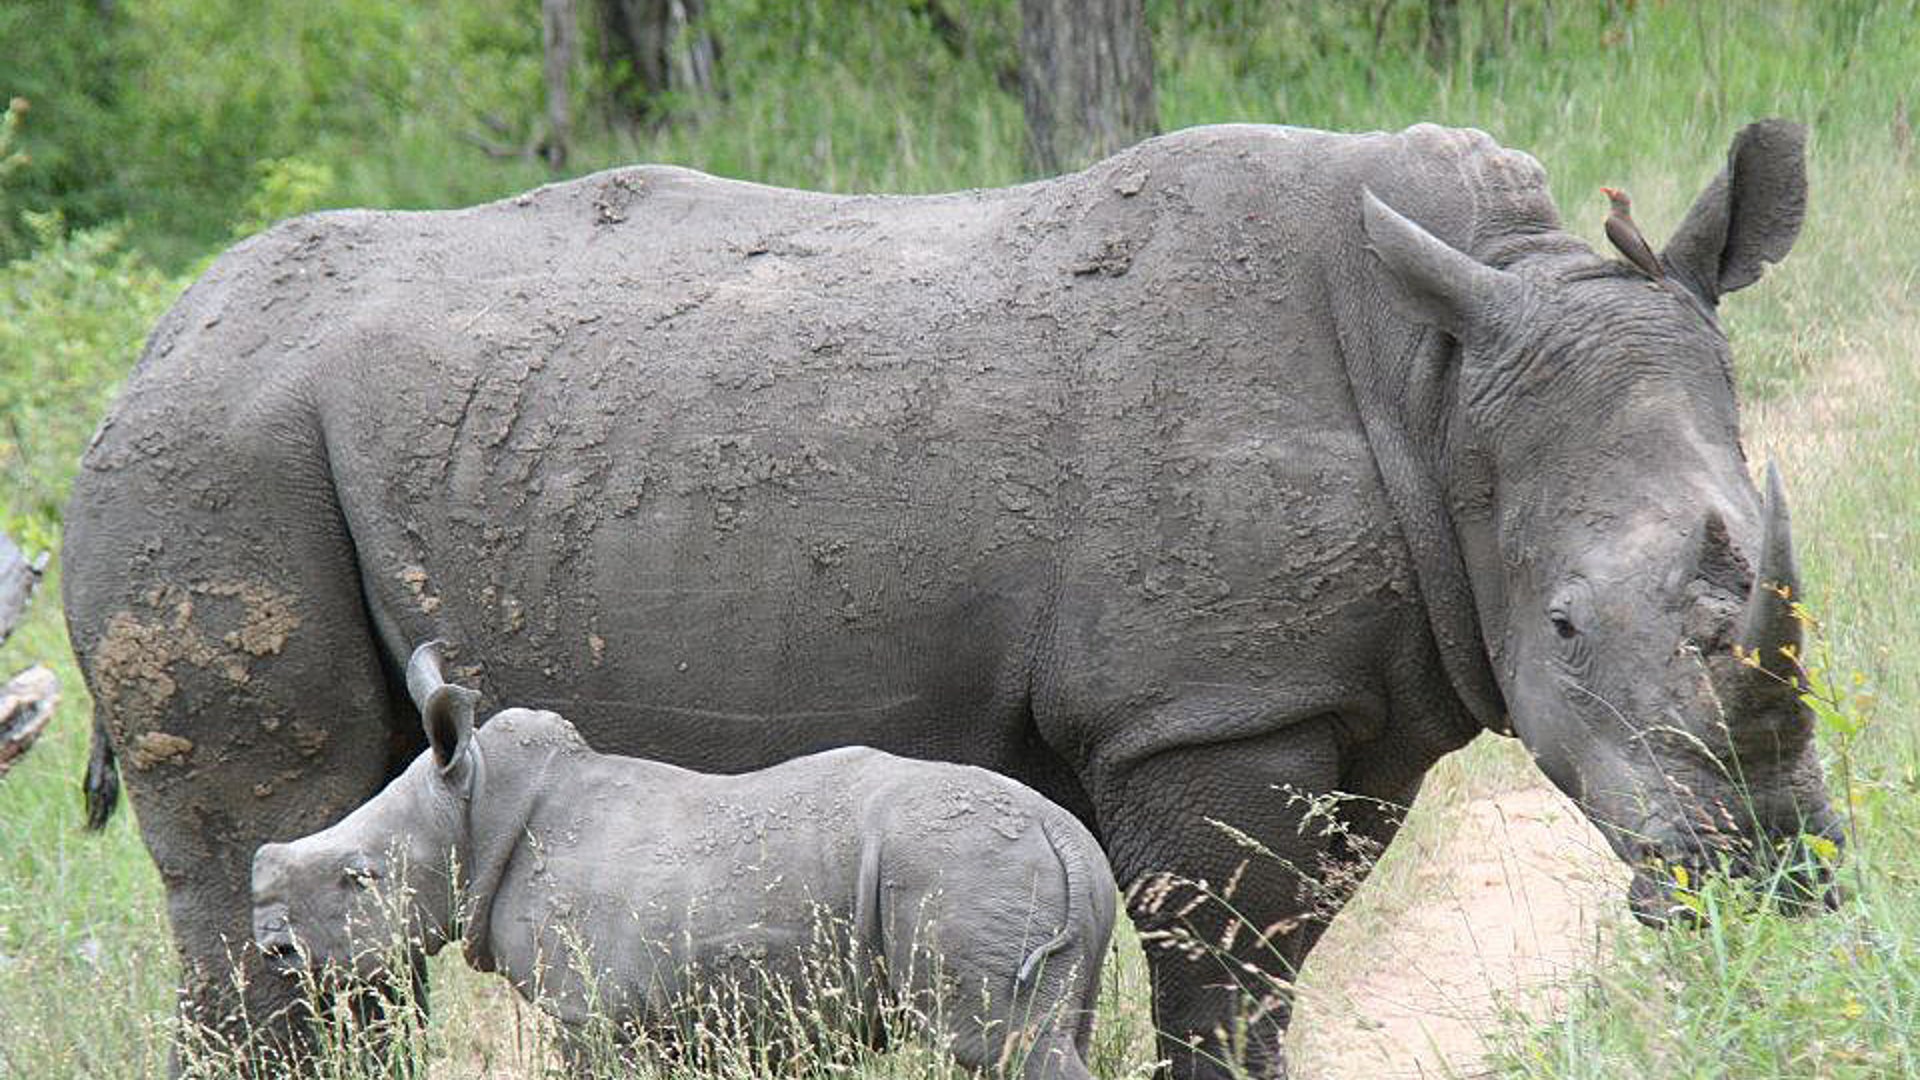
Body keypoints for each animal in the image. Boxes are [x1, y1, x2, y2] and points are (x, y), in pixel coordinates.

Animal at [251, 642, 1114, 1079]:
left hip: (966, 869)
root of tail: (1068, 839)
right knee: (1051, 1030)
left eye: (357, 877)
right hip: (1020, 878)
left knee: (998, 1047)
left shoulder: (591, 1007)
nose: (273, 946)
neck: (476, 805)